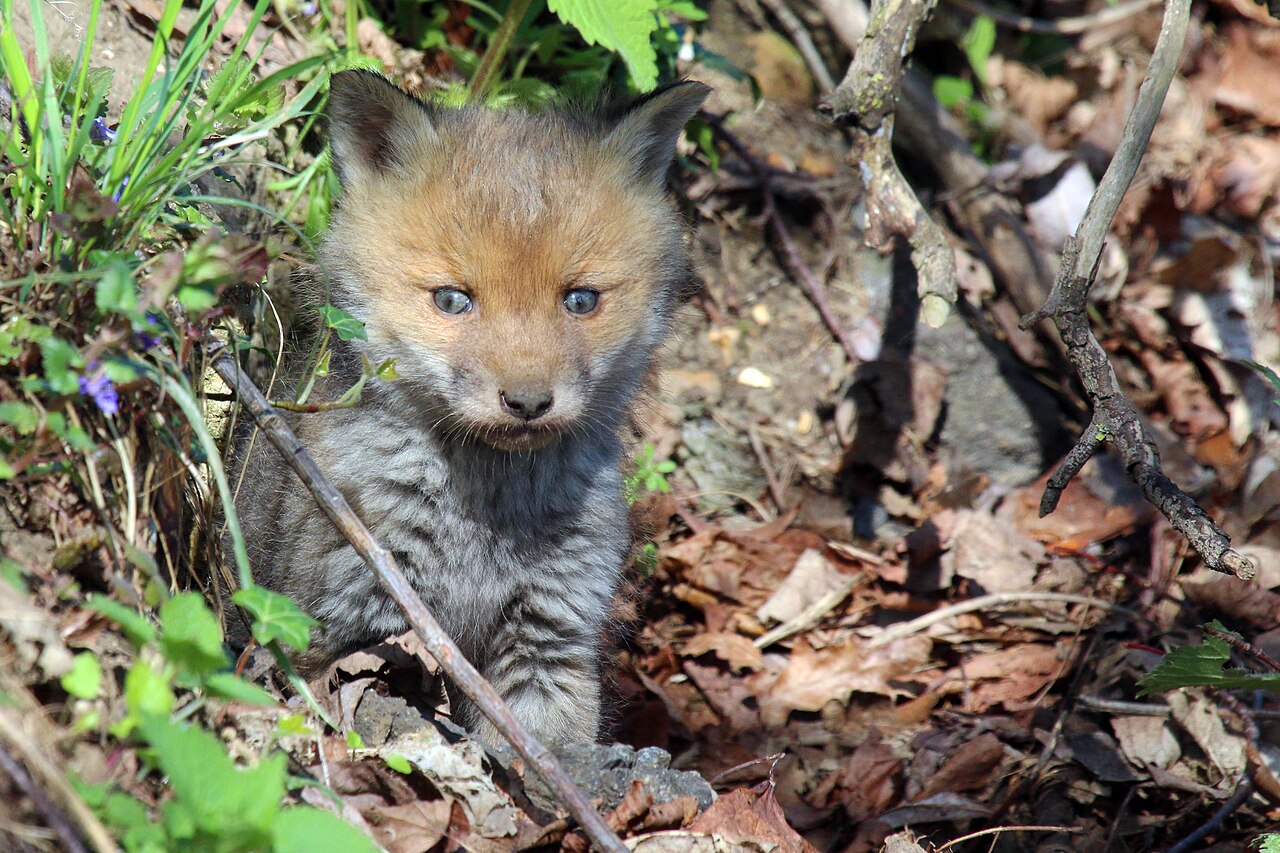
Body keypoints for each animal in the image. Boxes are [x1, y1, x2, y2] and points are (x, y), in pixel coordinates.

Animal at [226, 70, 709, 746]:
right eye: (452, 300)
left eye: (581, 300)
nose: (527, 402)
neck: (483, 522)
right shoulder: (338, 612)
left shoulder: (550, 637)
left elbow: (545, 757)